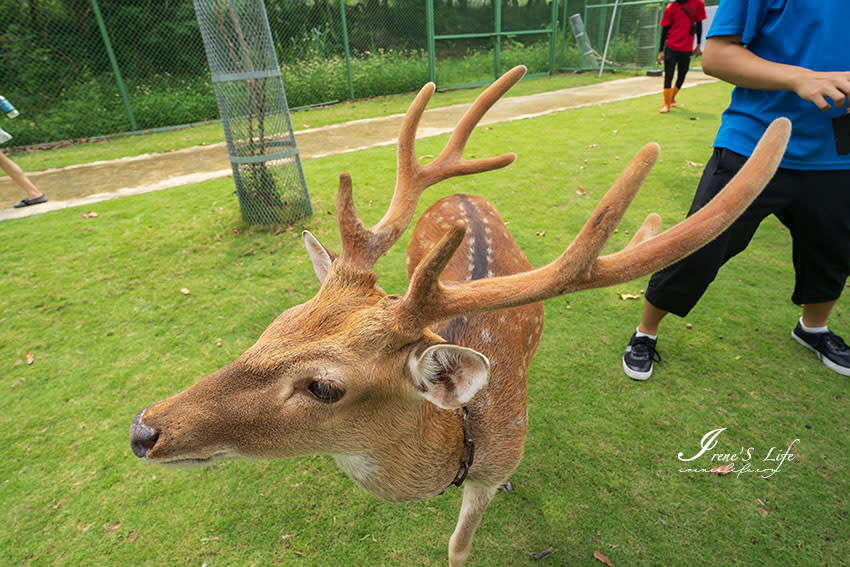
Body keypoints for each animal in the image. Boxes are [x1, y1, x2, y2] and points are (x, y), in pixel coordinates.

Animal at [131, 64, 788, 564]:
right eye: (275, 326)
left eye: (323, 387)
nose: (143, 430)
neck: (459, 446)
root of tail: (465, 192)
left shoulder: (493, 467)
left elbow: (459, 546)